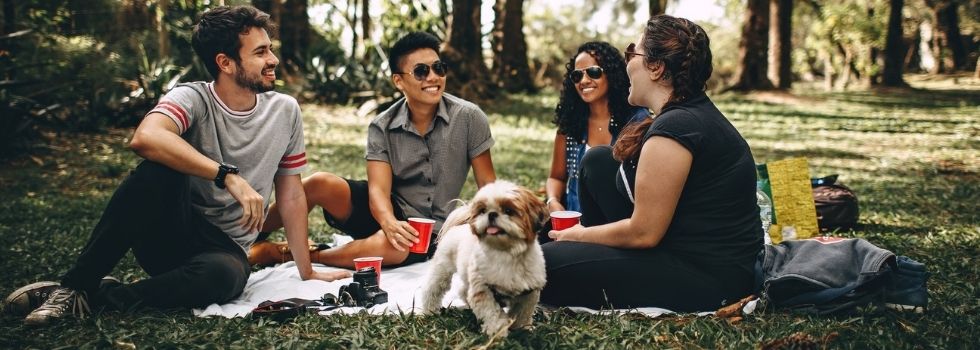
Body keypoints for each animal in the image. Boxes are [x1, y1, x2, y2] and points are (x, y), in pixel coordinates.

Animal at [418, 180, 548, 336]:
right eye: (482, 211)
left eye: (509, 211)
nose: (491, 214)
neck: (506, 253)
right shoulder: (482, 289)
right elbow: (492, 312)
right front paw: (497, 331)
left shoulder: (529, 292)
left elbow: (523, 312)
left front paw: (522, 328)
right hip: (442, 269)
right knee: (432, 289)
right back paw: (429, 310)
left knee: (463, 291)